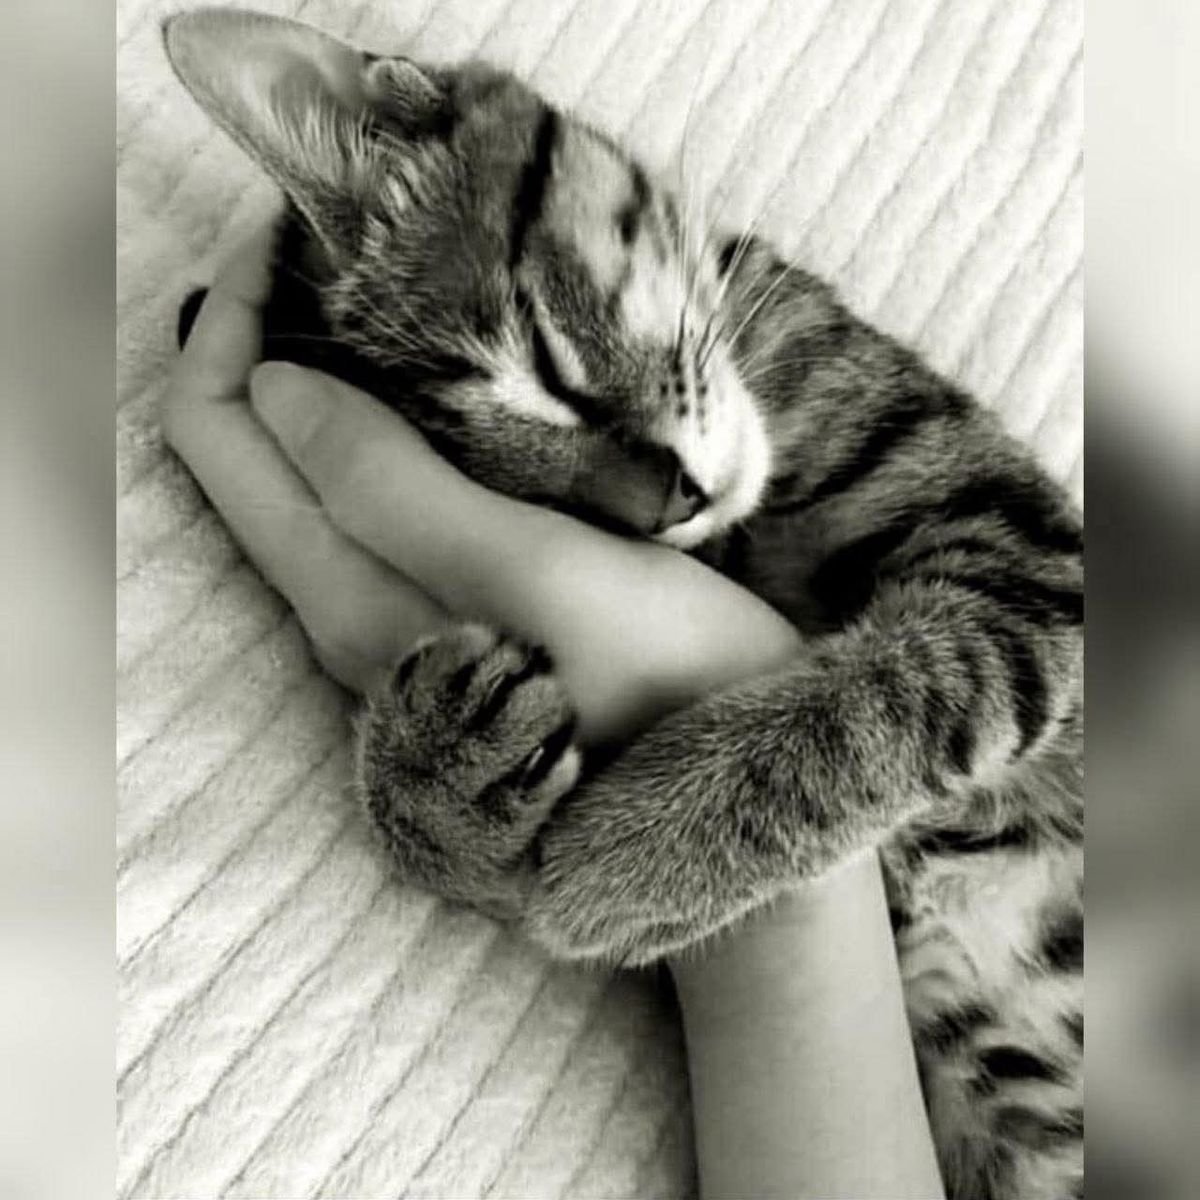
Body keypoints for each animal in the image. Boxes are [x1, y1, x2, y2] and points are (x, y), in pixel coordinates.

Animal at [166, 10, 1083, 1199]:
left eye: (547, 364)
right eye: (535, 502)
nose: (666, 506)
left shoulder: (1020, 547)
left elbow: (899, 689)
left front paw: (628, 854)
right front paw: (436, 778)